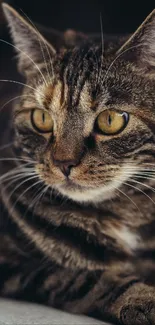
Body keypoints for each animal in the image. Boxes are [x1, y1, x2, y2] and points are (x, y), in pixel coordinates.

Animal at [0, 3, 155, 324]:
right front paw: (143, 298)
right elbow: (85, 278)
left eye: (111, 120)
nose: (64, 163)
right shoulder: (19, 267)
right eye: (41, 118)